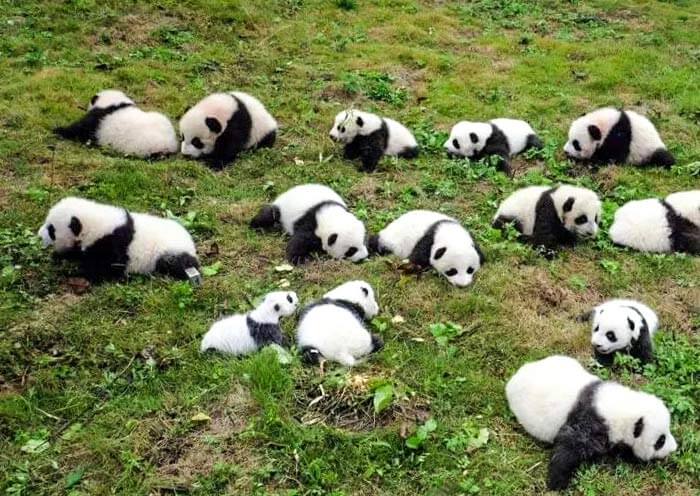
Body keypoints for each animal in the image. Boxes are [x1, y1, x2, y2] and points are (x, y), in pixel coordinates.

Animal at [38, 197, 199, 282]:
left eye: (51, 230)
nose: (39, 235)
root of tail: (191, 244)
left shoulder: (111, 243)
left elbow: (106, 267)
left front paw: (77, 272)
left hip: (170, 252)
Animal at [506, 355, 677, 491]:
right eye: (660, 441)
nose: (674, 448)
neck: (620, 408)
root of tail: (512, 380)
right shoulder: (589, 422)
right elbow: (568, 447)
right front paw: (557, 482)